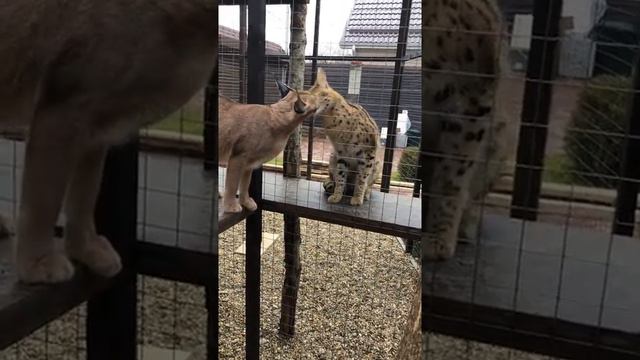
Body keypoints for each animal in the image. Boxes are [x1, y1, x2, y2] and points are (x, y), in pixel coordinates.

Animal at [0, 1, 218, 286]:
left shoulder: (96, 126)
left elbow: (85, 193)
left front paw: (86, 249)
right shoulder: (64, 106)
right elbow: (44, 199)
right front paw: (37, 262)